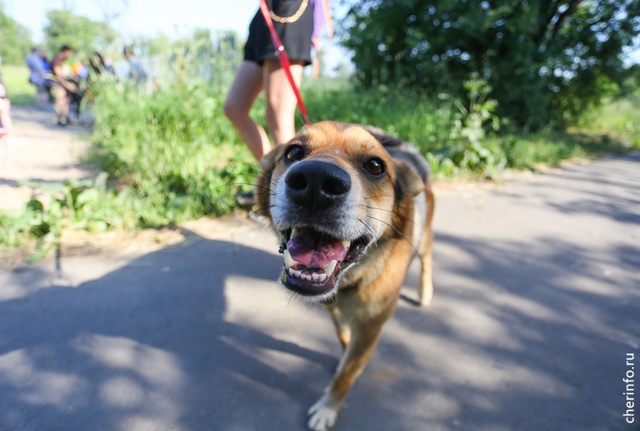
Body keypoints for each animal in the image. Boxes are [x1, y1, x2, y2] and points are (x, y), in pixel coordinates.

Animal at [255, 120, 436, 430]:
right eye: (293, 152)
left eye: (375, 166)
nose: (315, 181)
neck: (351, 279)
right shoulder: (334, 311)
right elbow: (342, 337)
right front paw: (342, 353)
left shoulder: (370, 329)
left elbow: (346, 375)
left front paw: (329, 407)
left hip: (423, 241)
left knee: (427, 259)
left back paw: (425, 291)